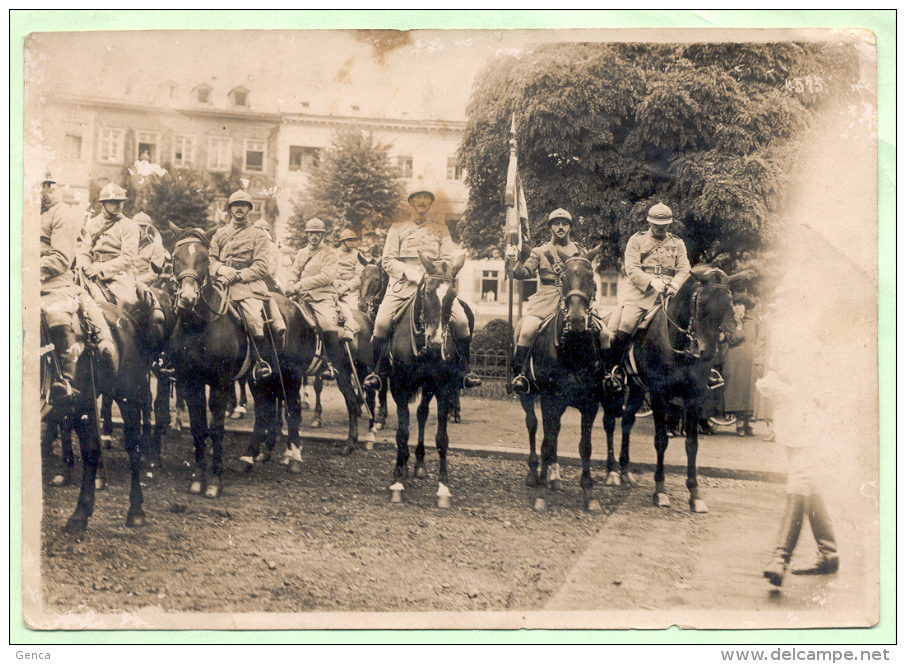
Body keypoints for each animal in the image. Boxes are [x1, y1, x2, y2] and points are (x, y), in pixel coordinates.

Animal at [40, 298, 153, 532]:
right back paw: (80, 513)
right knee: (91, 448)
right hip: (86, 400)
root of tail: (124, 314)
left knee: (133, 447)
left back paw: (135, 510)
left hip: (127, 397)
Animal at [384, 250, 466, 508]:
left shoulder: (443, 387)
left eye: (453, 295)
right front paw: (397, 481)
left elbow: (441, 437)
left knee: (421, 414)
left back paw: (418, 462)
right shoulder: (398, 386)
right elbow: (402, 432)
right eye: (427, 292)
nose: (436, 342)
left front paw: (443, 488)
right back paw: (404, 464)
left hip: (429, 387)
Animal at [512, 249, 604, 512]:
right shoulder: (550, 399)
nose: (576, 320)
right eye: (562, 279)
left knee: (554, 431)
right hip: (528, 395)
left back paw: (553, 476)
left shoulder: (590, 403)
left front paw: (589, 493)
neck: (572, 349)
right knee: (534, 426)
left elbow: (585, 446)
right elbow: (546, 442)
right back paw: (534, 474)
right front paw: (541, 495)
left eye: (591, 277)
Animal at [600, 264, 736, 512]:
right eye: (701, 303)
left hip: (637, 389)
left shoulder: (694, 397)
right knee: (609, 423)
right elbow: (661, 439)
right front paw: (660, 491)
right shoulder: (659, 396)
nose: (707, 353)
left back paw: (625, 471)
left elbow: (692, 443)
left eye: (728, 305)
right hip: (610, 390)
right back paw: (612, 471)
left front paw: (695, 493)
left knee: (627, 421)